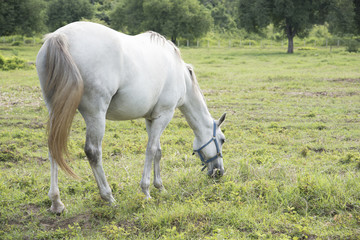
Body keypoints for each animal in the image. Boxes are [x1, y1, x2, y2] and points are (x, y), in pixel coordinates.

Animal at [37, 22, 228, 214]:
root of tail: (60, 36)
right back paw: (109, 197)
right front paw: (146, 191)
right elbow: (151, 150)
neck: (181, 76)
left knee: (53, 148)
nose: (219, 172)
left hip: (56, 111)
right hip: (95, 114)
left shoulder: (151, 118)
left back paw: (57, 202)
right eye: (222, 139)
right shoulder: (164, 115)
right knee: (93, 152)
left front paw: (160, 187)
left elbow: (158, 151)